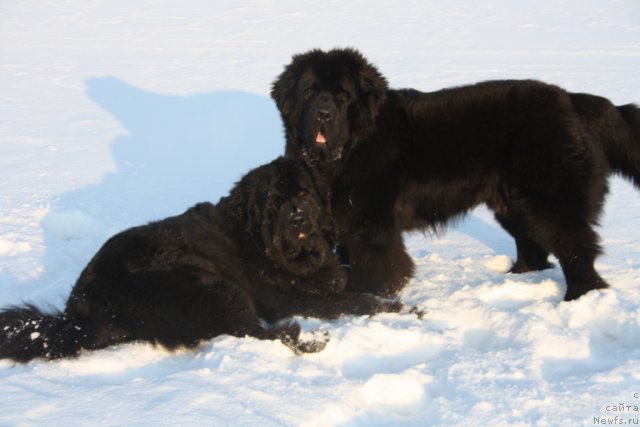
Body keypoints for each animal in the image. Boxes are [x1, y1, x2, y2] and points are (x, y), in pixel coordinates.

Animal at [1, 157, 400, 364]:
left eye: (304, 195)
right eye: (274, 203)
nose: (297, 219)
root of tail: (78, 310)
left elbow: (344, 283)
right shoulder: (285, 296)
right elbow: (350, 300)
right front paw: (396, 307)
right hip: (212, 287)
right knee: (252, 331)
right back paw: (309, 339)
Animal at [270, 47, 640, 300]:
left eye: (343, 96)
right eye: (309, 92)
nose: (322, 114)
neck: (349, 151)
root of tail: (573, 100)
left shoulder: (371, 224)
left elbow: (373, 269)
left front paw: (367, 300)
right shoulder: (347, 217)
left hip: (550, 198)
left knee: (576, 247)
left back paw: (581, 295)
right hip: (514, 204)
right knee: (533, 246)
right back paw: (517, 279)